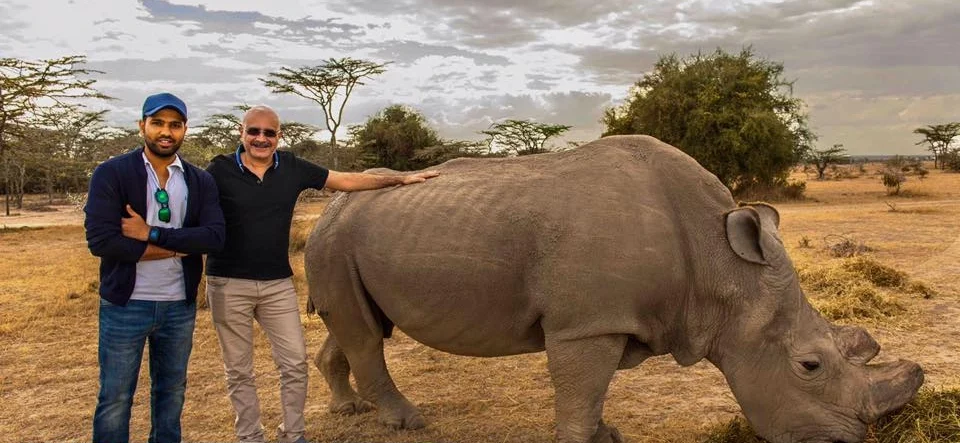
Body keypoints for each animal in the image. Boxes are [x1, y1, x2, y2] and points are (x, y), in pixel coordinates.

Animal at [304, 135, 923, 443]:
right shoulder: (587, 324)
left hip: (345, 239)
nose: (848, 440)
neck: (725, 270)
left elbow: (594, 393)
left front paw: (609, 434)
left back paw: (349, 410)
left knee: (356, 324)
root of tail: (327, 209)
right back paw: (406, 423)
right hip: (335, 238)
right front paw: (588, 438)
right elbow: (580, 395)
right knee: (366, 335)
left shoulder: (613, 320)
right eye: (809, 366)